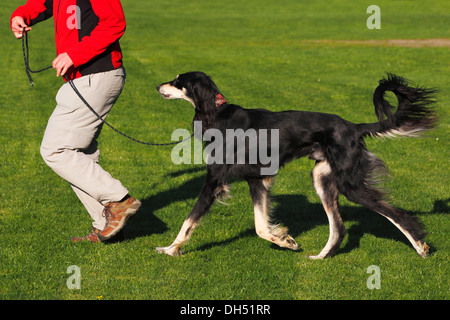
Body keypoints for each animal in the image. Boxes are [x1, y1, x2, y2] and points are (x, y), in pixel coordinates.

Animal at [156, 71, 438, 258]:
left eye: (178, 81)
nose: (158, 85)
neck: (217, 115)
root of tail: (353, 127)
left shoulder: (214, 181)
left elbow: (189, 221)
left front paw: (170, 249)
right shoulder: (257, 180)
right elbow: (260, 227)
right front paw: (285, 240)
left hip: (350, 183)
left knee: (395, 213)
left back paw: (420, 246)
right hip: (322, 178)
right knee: (338, 228)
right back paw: (321, 257)